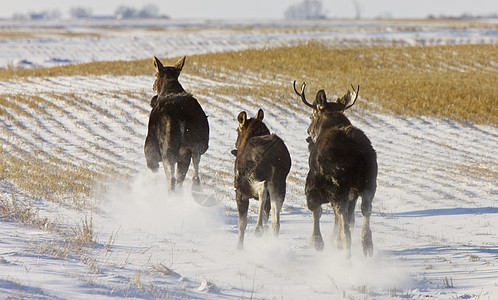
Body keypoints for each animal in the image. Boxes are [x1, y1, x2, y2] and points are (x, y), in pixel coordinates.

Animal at [144, 56, 208, 191]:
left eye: (156, 74)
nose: (153, 85)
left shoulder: (150, 153)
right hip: (190, 149)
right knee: (193, 178)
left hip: (168, 151)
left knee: (172, 181)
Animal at [231, 109, 292, 250]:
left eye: (237, 130)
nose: (236, 144)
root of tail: (275, 157)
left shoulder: (240, 192)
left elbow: (242, 223)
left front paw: (239, 246)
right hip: (280, 184)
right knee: (275, 221)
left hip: (251, 180)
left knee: (262, 188)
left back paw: (257, 229)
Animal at [292, 81, 378, 256]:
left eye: (311, 115)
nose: (308, 133)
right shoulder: (353, 193)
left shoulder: (312, 185)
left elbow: (316, 211)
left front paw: (317, 242)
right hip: (368, 183)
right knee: (364, 210)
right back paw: (367, 244)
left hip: (337, 186)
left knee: (343, 219)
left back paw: (345, 251)